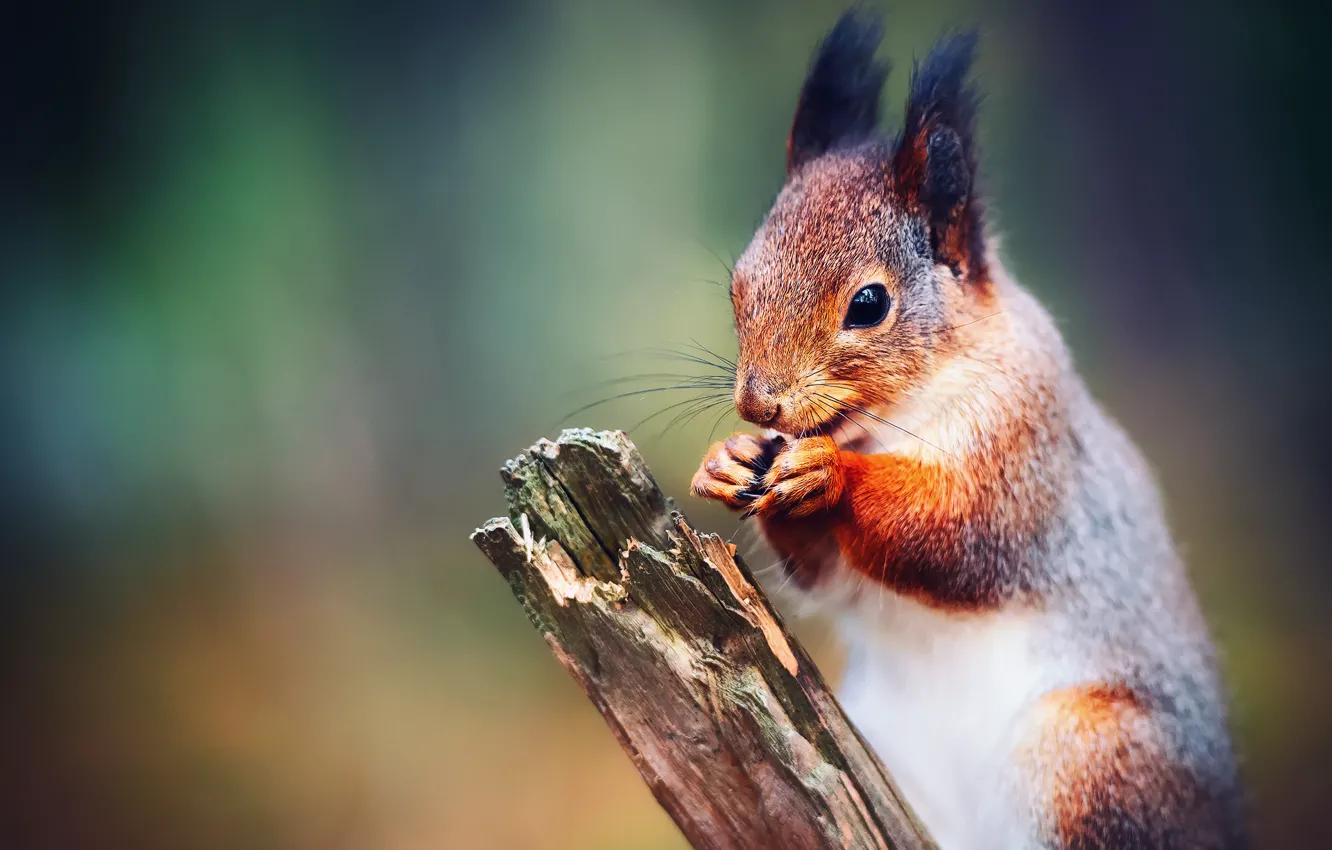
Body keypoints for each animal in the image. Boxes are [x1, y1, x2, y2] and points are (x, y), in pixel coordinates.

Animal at [689, 10, 1246, 850]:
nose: (760, 406)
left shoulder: (1029, 445)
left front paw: (831, 476)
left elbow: (960, 536)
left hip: (1089, 758)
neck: (892, 423)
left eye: (869, 304)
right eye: (737, 286)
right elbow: (825, 572)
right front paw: (727, 462)